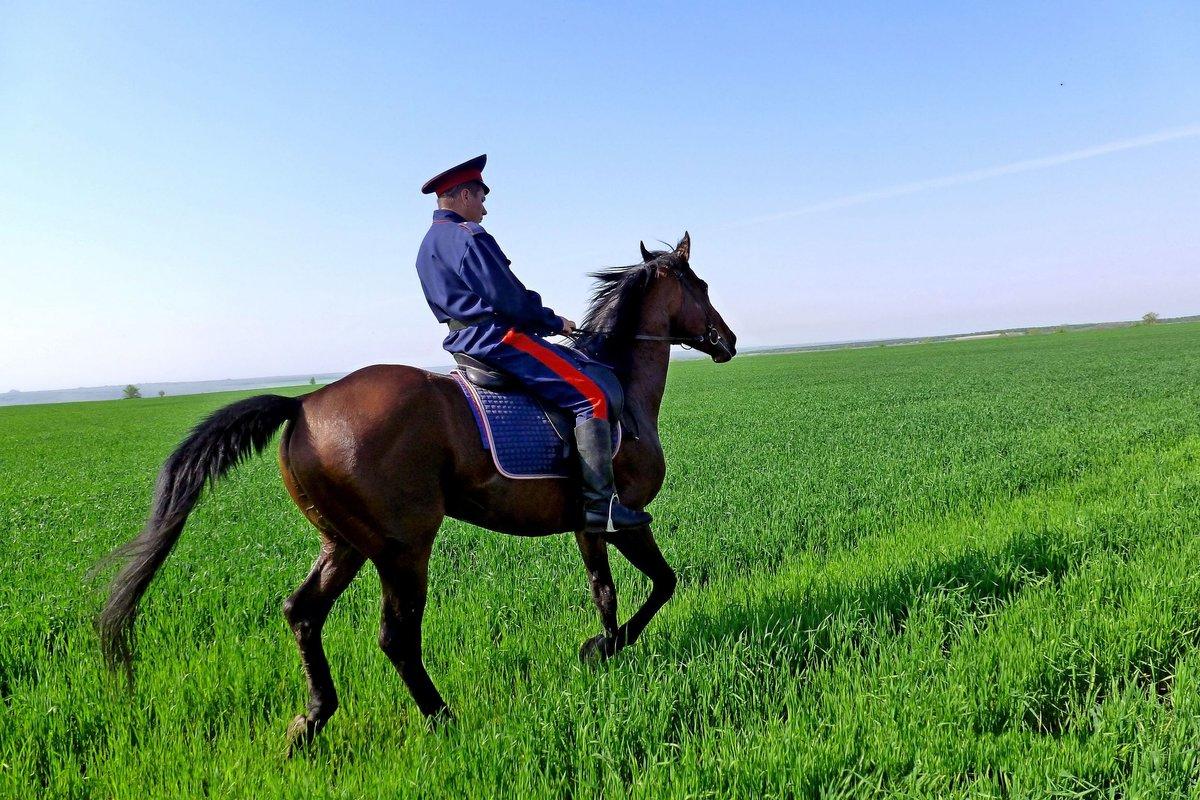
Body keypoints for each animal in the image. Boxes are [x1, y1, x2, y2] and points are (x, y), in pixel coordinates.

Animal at [100, 232, 729, 753]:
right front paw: (606, 648)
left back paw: (311, 721)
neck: (621, 382)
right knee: (396, 637)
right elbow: (663, 584)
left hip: (345, 544)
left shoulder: (588, 523)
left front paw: (602, 649)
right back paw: (442, 717)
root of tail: (302, 405)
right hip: (404, 549)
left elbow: (605, 593)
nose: (729, 340)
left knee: (302, 613)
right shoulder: (626, 517)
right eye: (700, 286)